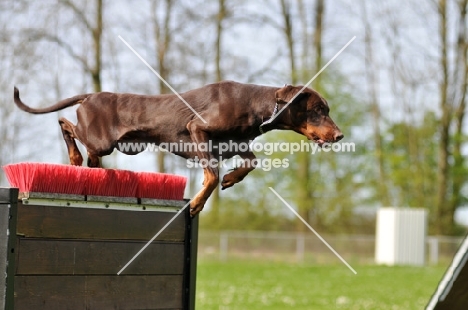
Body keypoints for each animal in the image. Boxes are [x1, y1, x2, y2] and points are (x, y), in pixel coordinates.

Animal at [14, 80, 342, 216]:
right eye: (319, 110)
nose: (340, 136)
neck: (258, 105)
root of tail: (91, 95)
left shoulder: (236, 145)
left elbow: (250, 163)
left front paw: (231, 179)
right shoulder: (197, 130)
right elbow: (210, 176)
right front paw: (196, 204)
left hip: (104, 144)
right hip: (100, 139)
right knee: (64, 122)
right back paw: (74, 157)